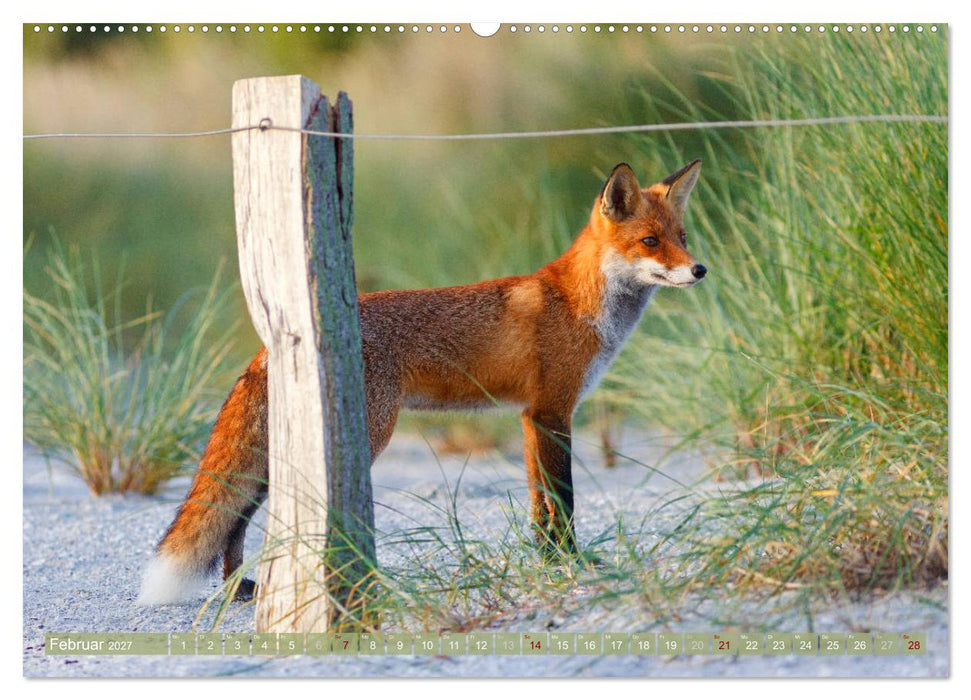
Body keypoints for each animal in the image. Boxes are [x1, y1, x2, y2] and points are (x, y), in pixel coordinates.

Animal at [137, 160, 707, 605]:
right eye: (650, 242)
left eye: (682, 239)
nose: (699, 269)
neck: (579, 303)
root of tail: (274, 341)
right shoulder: (553, 411)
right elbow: (562, 500)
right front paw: (572, 562)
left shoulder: (530, 417)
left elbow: (537, 506)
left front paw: (547, 561)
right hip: (365, 433)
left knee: (234, 517)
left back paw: (239, 588)